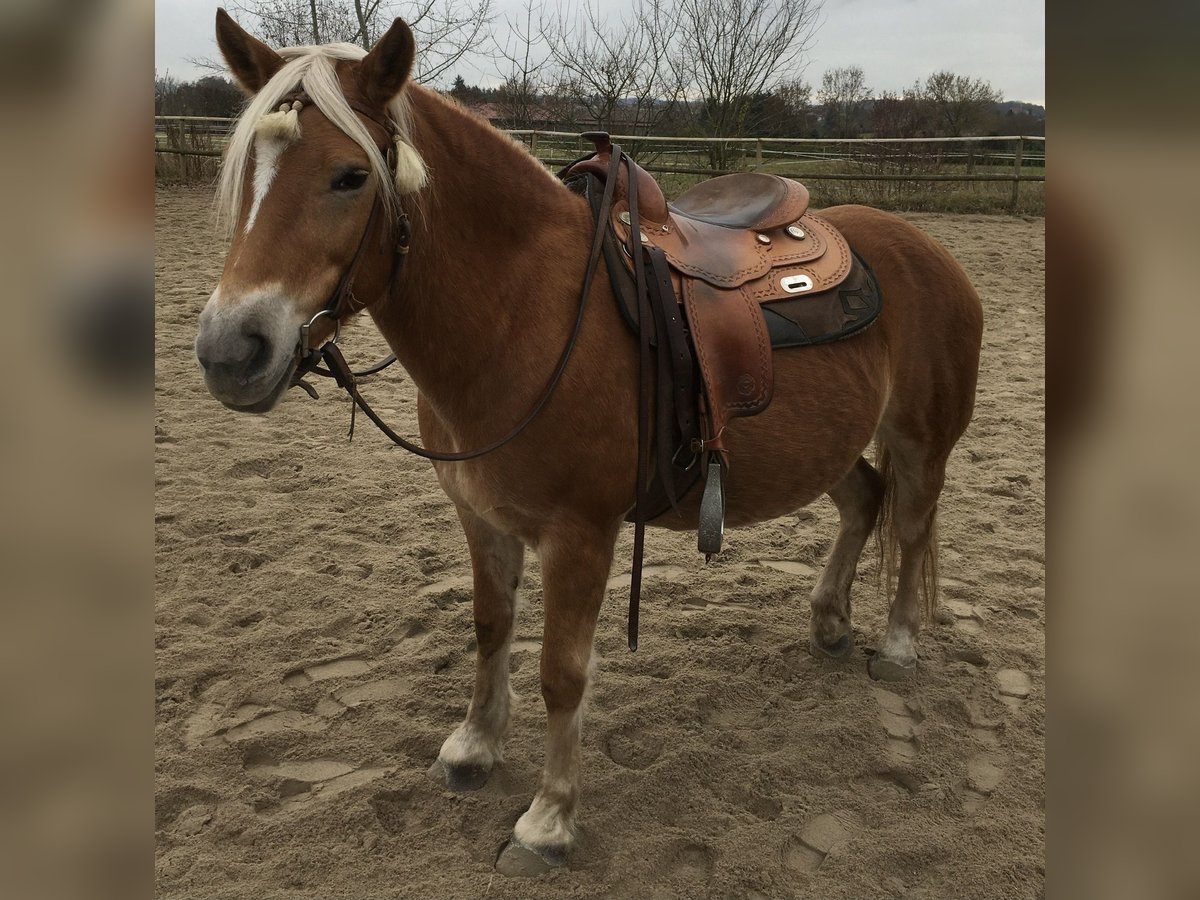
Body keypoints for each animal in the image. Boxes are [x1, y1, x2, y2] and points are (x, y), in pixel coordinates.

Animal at [194, 10, 984, 873]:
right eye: (243, 172)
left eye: (348, 177)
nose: (231, 352)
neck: (520, 314)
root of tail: (926, 248)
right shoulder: (482, 518)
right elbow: (490, 628)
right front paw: (473, 748)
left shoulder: (581, 535)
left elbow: (561, 673)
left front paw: (549, 819)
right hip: (822, 446)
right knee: (865, 500)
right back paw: (831, 622)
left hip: (921, 440)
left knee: (912, 524)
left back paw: (898, 646)